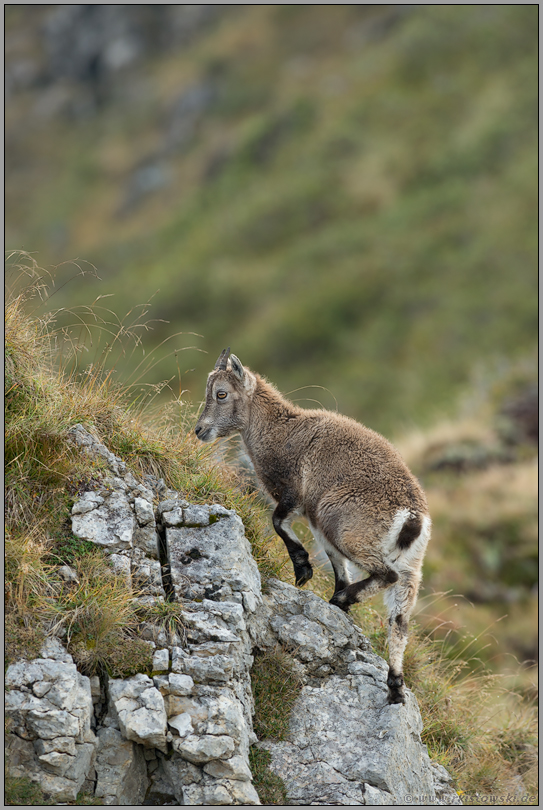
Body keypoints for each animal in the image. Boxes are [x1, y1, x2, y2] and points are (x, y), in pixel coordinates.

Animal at [195, 348, 431, 704]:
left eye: (221, 393)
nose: (200, 430)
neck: (280, 430)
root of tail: (411, 518)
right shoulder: (317, 524)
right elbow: (337, 566)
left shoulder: (296, 495)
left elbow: (278, 522)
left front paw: (303, 568)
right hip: (410, 569)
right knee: (399, 622)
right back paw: (394, 685)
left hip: (349, 529)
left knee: (384, 574)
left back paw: (343, 600)